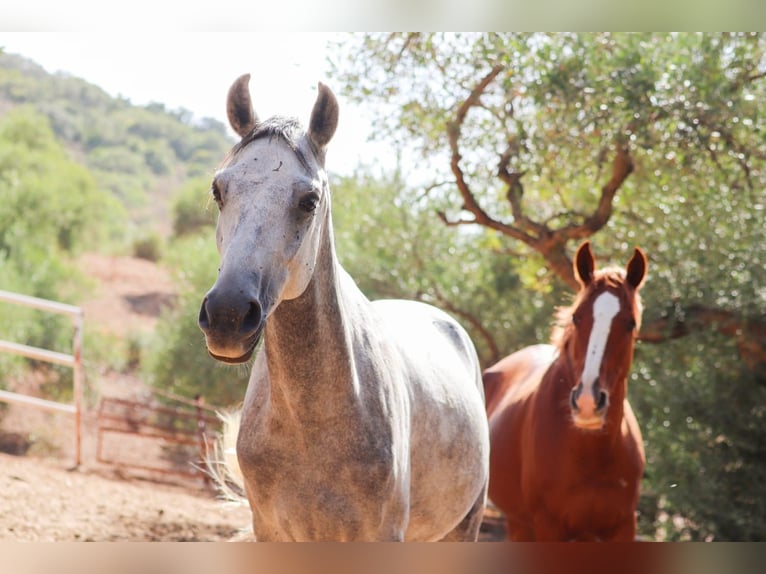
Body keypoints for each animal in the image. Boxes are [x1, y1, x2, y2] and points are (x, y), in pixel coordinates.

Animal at [196, 74, 486, 544]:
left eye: (309, 200)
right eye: (218, 190)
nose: (228, 315)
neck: (310, 428)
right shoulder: (270, 531)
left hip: (465, 526)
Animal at [486, 242, 648, 544]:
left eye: (630, 323)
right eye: (577, 316)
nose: (587, 403)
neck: (591, 453)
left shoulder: (623, 526)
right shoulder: (549, 526)